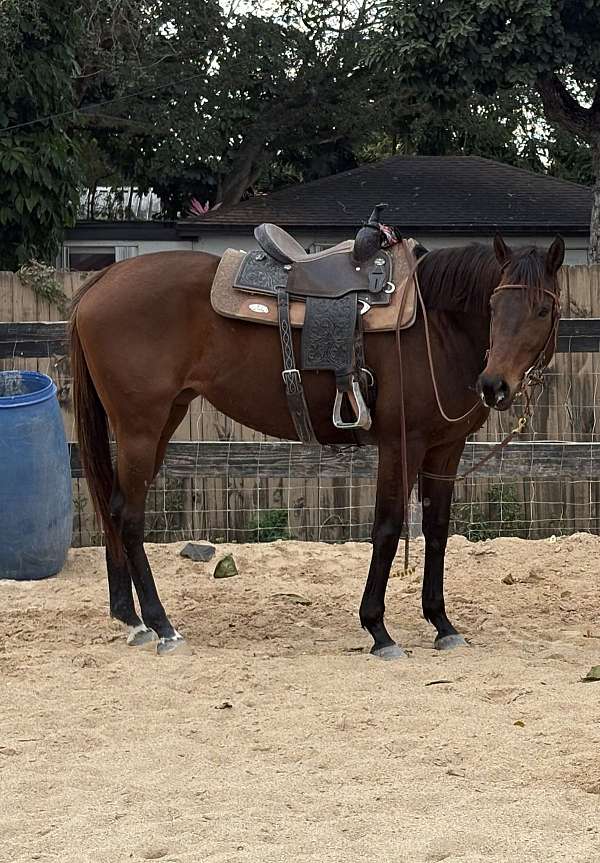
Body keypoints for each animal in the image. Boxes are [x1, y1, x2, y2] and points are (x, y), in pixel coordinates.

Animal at [69, 233, 564, 657]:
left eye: (543, 310)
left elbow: (438, 530)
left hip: (163, 420)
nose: (495, 385)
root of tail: (102, 281)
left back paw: (132, 620)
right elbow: (386, 529)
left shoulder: (445, 448)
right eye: (495, 303)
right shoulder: (401, 445)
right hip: (140, 426)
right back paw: (162, 625)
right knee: (130, 517)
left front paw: (442, 624)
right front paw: (378, 629)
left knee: (114, 507)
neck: (433, 323)